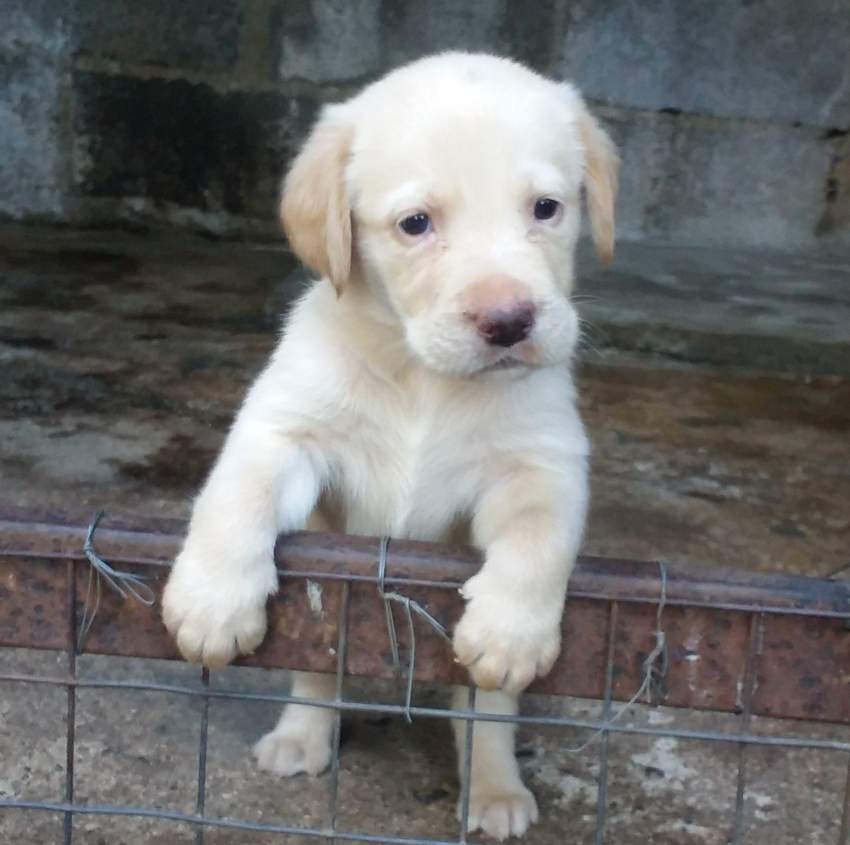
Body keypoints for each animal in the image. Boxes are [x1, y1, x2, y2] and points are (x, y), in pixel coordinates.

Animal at [162, 52, 620, 836]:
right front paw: (212, 600)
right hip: (327, 598)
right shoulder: (286, 427)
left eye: (546, 208)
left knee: (485, 712)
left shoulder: (540, 461)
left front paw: (511, 628)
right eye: (415, 224)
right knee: (321, 667)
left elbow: (538, 537)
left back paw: (494, 791)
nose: (509, 320)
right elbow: (237, 495)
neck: (423, 377)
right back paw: (301, 736)